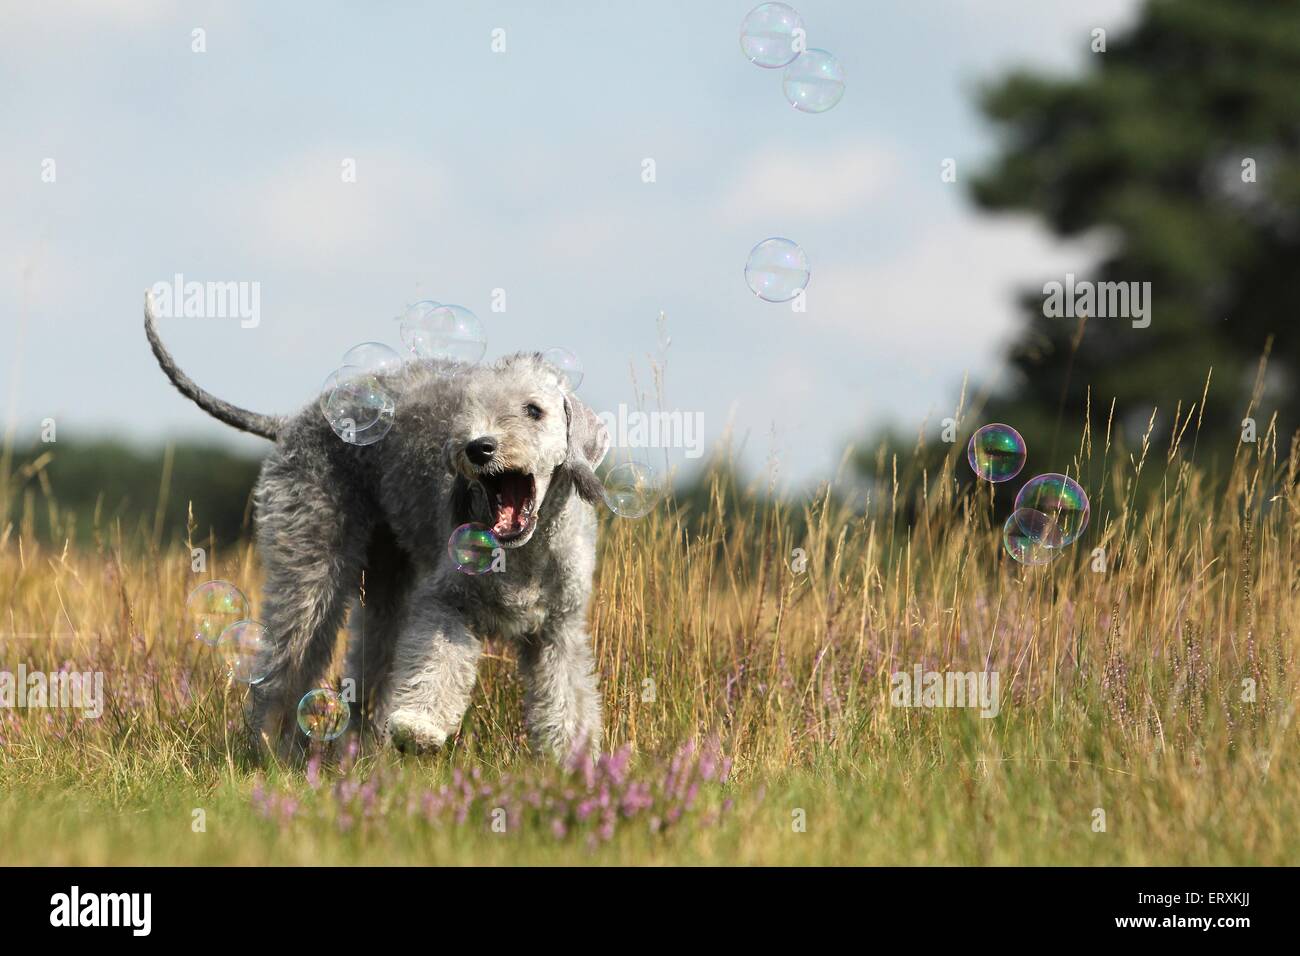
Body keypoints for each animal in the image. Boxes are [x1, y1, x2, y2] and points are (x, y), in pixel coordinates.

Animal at [144, 295, 611, 759]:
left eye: (534, 410)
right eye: (467, 413)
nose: (479, 447)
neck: (521, 552)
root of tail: (290, 420)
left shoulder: (558, 630)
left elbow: (567, 695)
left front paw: (574, 758)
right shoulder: (446, 601)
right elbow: (435, 662)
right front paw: (419, 727)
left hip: (386, 573)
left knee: (370, 659)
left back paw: (362, 747)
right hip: (311, 558)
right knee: (286, 659)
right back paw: (271, 748)